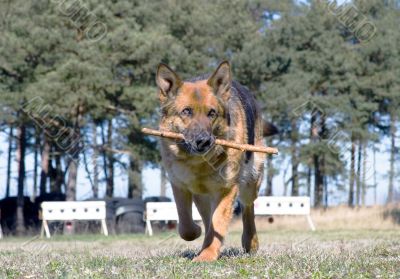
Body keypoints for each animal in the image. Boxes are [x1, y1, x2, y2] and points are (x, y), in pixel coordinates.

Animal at [157, 61, 278, 262]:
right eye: (186, 111)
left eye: (211, 113)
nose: (204, 141)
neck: (199, 163)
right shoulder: (179, 185)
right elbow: (186, 226)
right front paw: (198, 235)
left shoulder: (227, 189)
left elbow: (218, 222)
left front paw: (207, 256)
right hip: (202, 196)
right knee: (207, 219)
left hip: (251, 181)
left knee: (248, 208)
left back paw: (250, 242)